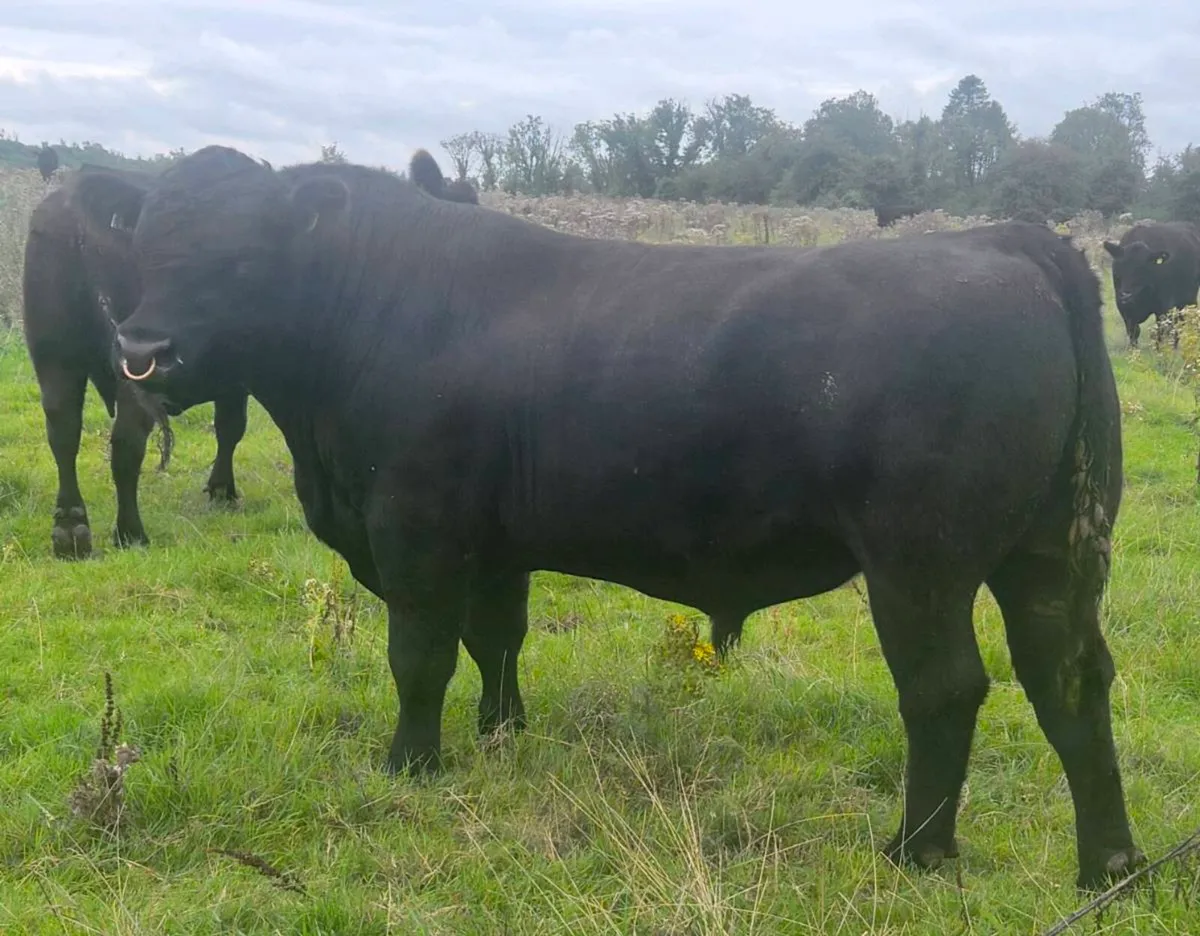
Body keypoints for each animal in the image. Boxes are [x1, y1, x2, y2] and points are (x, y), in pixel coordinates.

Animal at [21, 164, 251, 559]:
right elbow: (231, 427)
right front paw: (222, 490)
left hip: (53, 356)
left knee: (63, 432)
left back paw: (71, 531)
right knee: (126, 444)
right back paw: (131, 533)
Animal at [87, 145, 1141, 890]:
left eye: (241, 255)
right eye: (145, 247)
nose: (141, 346)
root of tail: (1006, 239)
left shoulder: (417, 533)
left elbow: (419, 656)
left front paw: (410, 763)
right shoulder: (494, 543)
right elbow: (497, 639)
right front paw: (501, 732)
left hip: (920, 563)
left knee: (945, 691)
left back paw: (917, 853)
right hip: (1047, 553)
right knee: (1071, 680)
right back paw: (1110, 867)